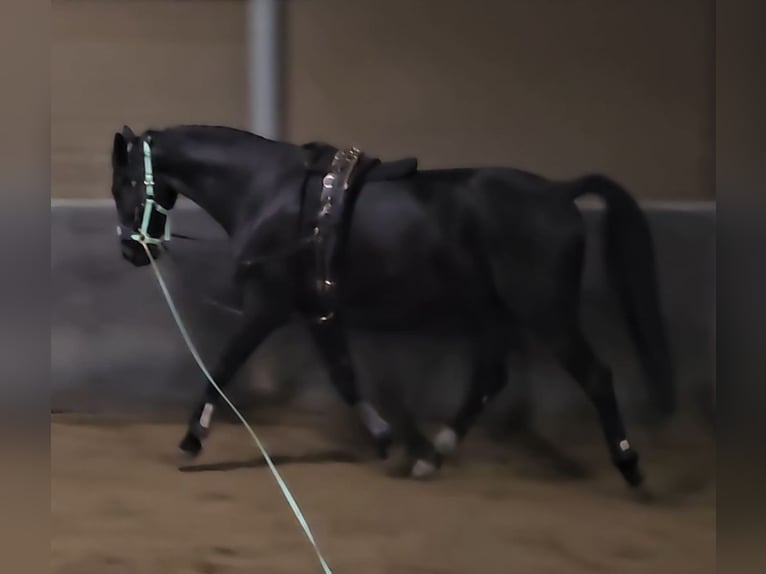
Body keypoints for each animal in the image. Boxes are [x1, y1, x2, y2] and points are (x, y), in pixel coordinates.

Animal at [109, 123, 675, 488]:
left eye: (126, 182)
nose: (132, 250)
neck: (271, 194)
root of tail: (560, 193)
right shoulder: (319, 310)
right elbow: (344, 377)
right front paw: (386, 440)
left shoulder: (267, 304)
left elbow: (223, 368)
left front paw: (190, 442)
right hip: (492, 312)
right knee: (489, 379)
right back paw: (433, 457)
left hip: (546, 311)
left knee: (596, 376)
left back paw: (630, 467)